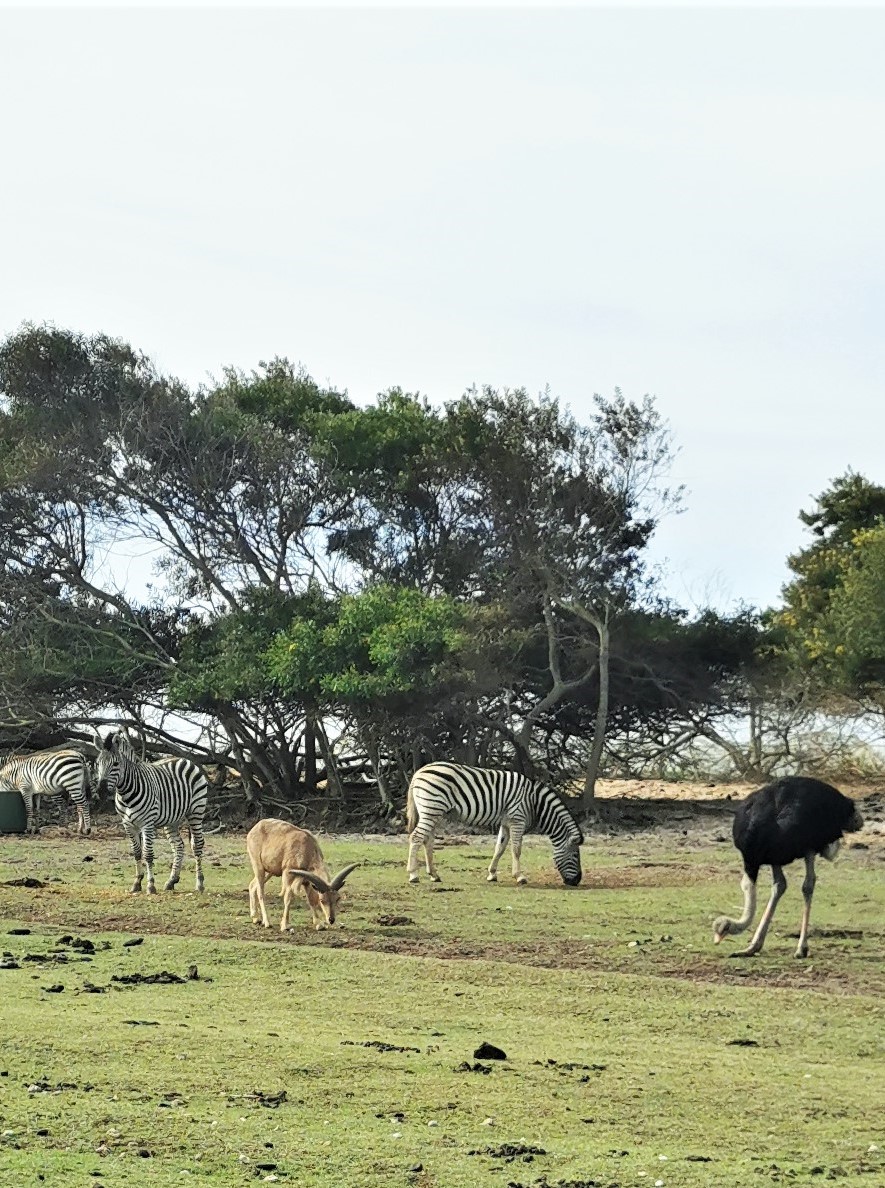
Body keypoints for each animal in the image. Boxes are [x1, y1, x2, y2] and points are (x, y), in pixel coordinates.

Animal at [93, 727, 209, 893]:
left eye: (115, 764)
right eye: (97, 763)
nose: (101, 791)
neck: (126, 793)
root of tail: (184, 759)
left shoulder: (147, 823)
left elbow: (148, 854)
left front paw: (151, 885)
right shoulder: (127, 824)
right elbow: (136, 853)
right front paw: (136, 883)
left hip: (196, 811)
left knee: (197, 844)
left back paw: (199, 884)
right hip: (172, 819)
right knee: (178, 846)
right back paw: (171, 881)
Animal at [403, 765, 584, 888]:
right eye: (576, 855)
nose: (576, 881)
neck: (534, 802)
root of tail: (419, 772)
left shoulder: (506, 822)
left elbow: (500, 847)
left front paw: (492, 874)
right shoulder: (517, 819)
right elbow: (516, 849)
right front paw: (520, 877)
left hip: (432, 812)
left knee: (427, 840)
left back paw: (434, 875)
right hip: (431, 809)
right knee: (416, 837)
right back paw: (413, 874)